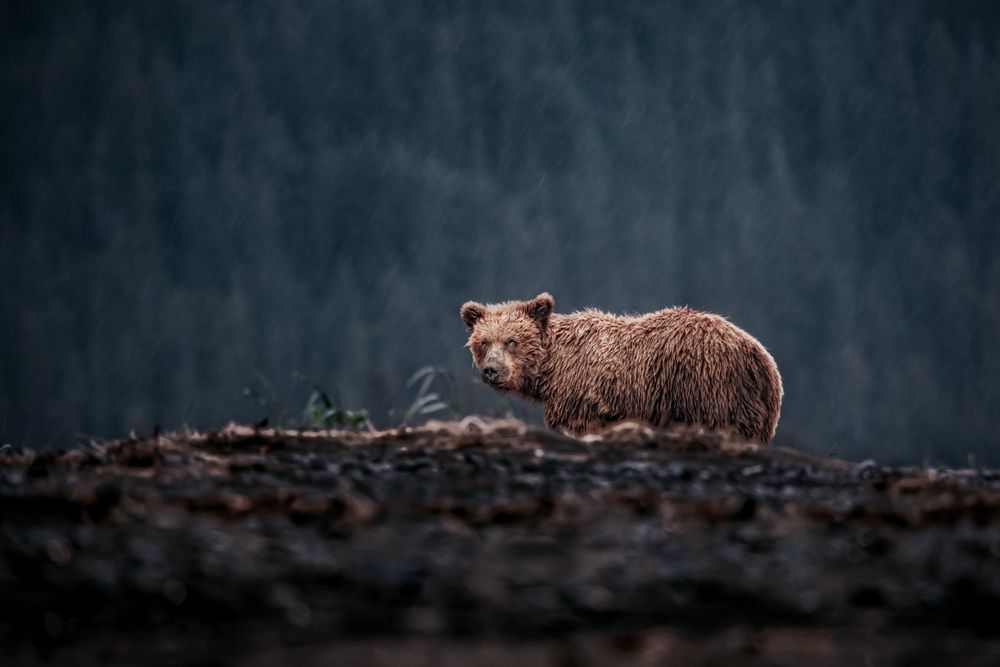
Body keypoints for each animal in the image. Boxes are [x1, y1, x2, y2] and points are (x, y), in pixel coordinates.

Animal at [460, 293, 783, 443]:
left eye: (512, 341)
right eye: (484, 342)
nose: (492, 370)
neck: (550, 368)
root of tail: (761, 358)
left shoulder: (579, 398)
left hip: (707, 387)